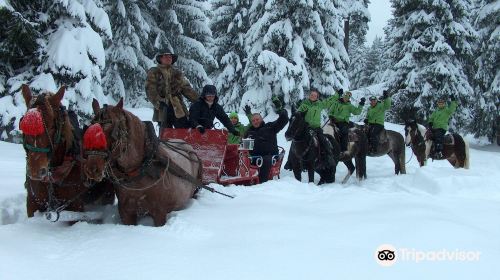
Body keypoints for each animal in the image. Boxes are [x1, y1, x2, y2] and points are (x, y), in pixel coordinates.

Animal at [20, 85, 114, 221]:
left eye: (52, 126)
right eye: (22, 124)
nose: (35, 170)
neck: (52, 179)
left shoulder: (76, 208)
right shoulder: (32, 204)